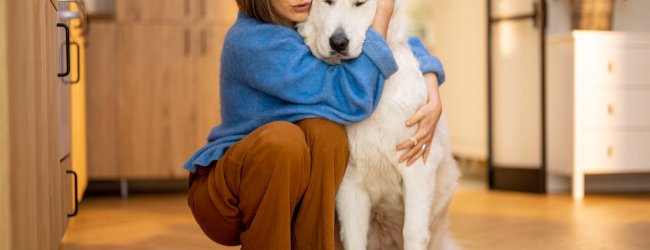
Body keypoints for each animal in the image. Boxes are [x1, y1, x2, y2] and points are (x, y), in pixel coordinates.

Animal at [296, 0, 458, 250]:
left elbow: (412, 231)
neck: (373, 87)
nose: (338, 42)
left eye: (360, 3)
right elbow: (354, 237)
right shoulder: (350, 186)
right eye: (327, 2)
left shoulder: (418, 168)